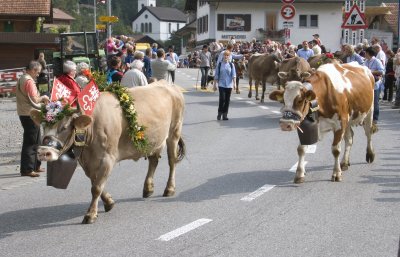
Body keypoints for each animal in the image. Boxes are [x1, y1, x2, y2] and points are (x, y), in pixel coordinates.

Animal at [29, 79, 186, 223]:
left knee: (172, 161)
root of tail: (168, 83)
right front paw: (109, 202)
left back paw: (169, 189)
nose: (43, 152)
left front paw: (91, 214)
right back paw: (148, 189)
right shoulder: (87, 163)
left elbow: (96, 187)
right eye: (43, 125)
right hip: (155, 140)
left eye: (65, 127)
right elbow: (95, 182)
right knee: (153, 161)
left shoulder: (107, 158)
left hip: (174, 132)